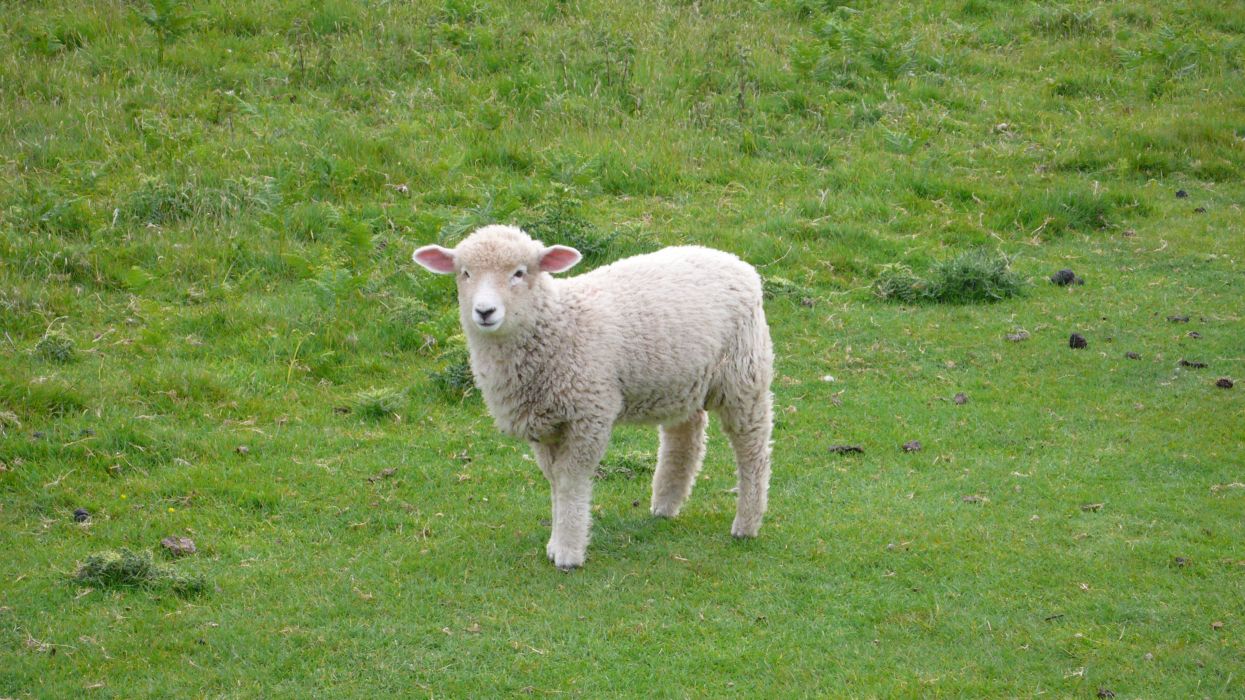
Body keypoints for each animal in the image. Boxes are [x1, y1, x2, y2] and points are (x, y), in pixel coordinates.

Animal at [413, 225, 773, 570]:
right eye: (465, 273)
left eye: (519, 272)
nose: (485, 311)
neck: (559, 324)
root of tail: (732, 260)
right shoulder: (544, 425)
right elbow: (554, 480)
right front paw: (555, 542)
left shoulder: (589, 413)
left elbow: (570, 480)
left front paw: (568, 552)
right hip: (681, 380)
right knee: (685, 437)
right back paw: (665, 505)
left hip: (744, 375)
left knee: (752, 450)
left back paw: (747, 523)